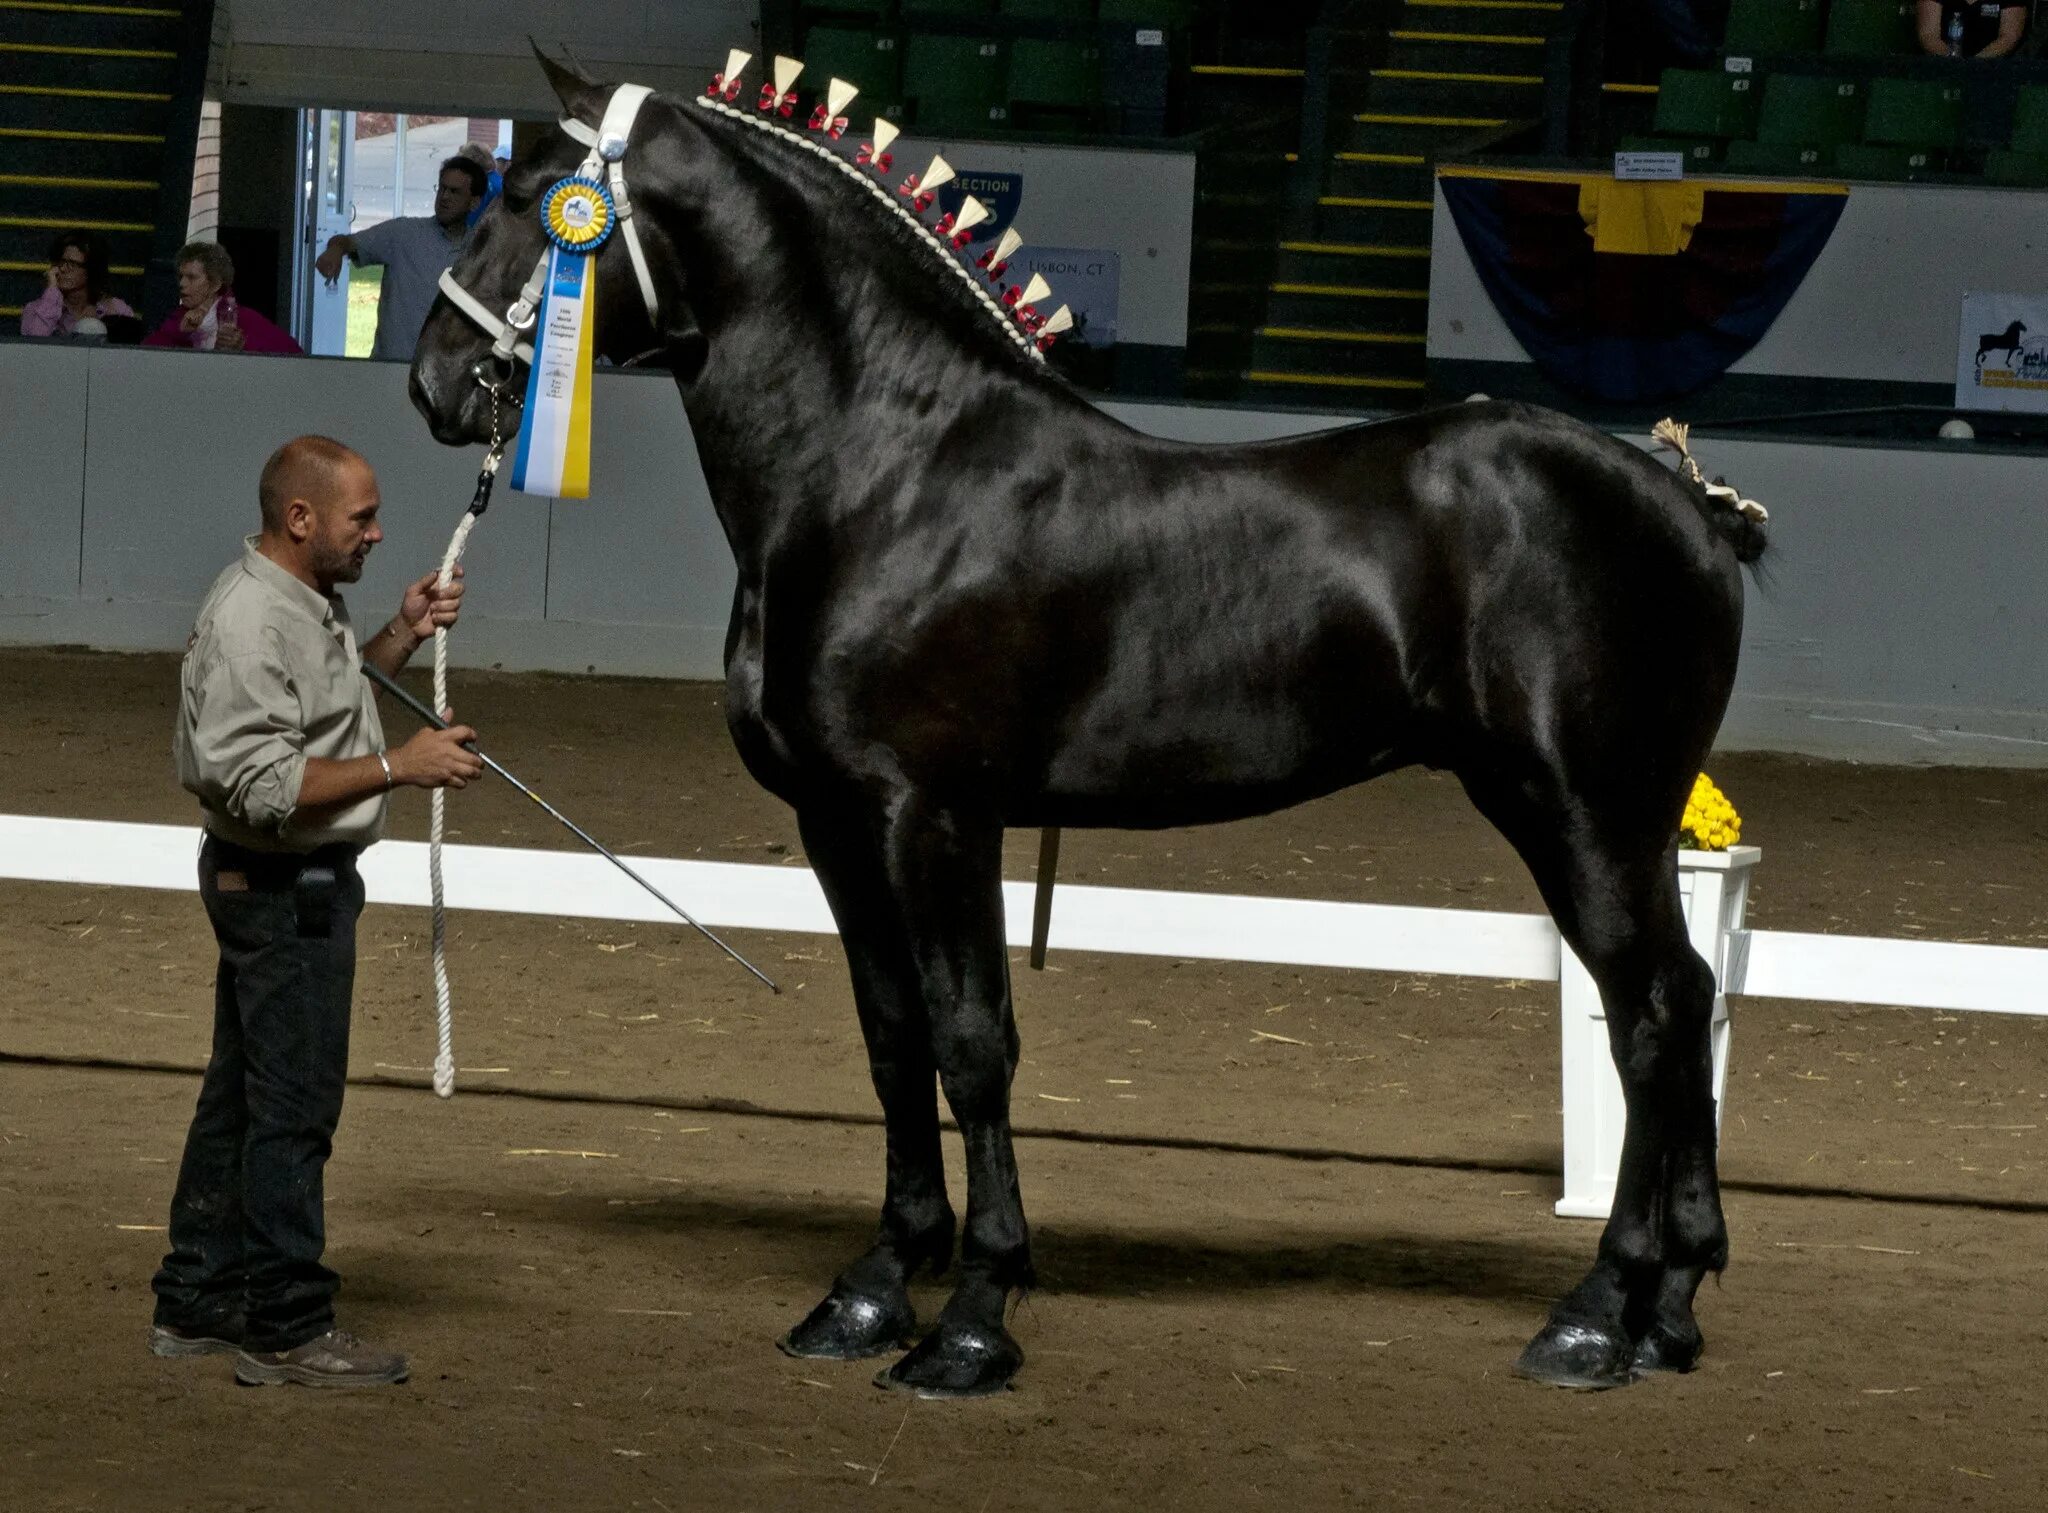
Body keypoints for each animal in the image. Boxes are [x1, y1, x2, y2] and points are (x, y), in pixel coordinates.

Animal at [407, 53, 1769, 1400]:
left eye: (530, 198)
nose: (431, 380)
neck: (885, 477)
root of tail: (1689, 505)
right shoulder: (837, 822)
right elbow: (893, 1040)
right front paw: (870, 1291)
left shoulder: (936, 818)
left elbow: (971, 1044)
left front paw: (970, 1321)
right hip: (1619, 824)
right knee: (1683, 998)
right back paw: (1669, 1307)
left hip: (1581, 813)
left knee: (1650, 1015)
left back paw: (1594, 1316)